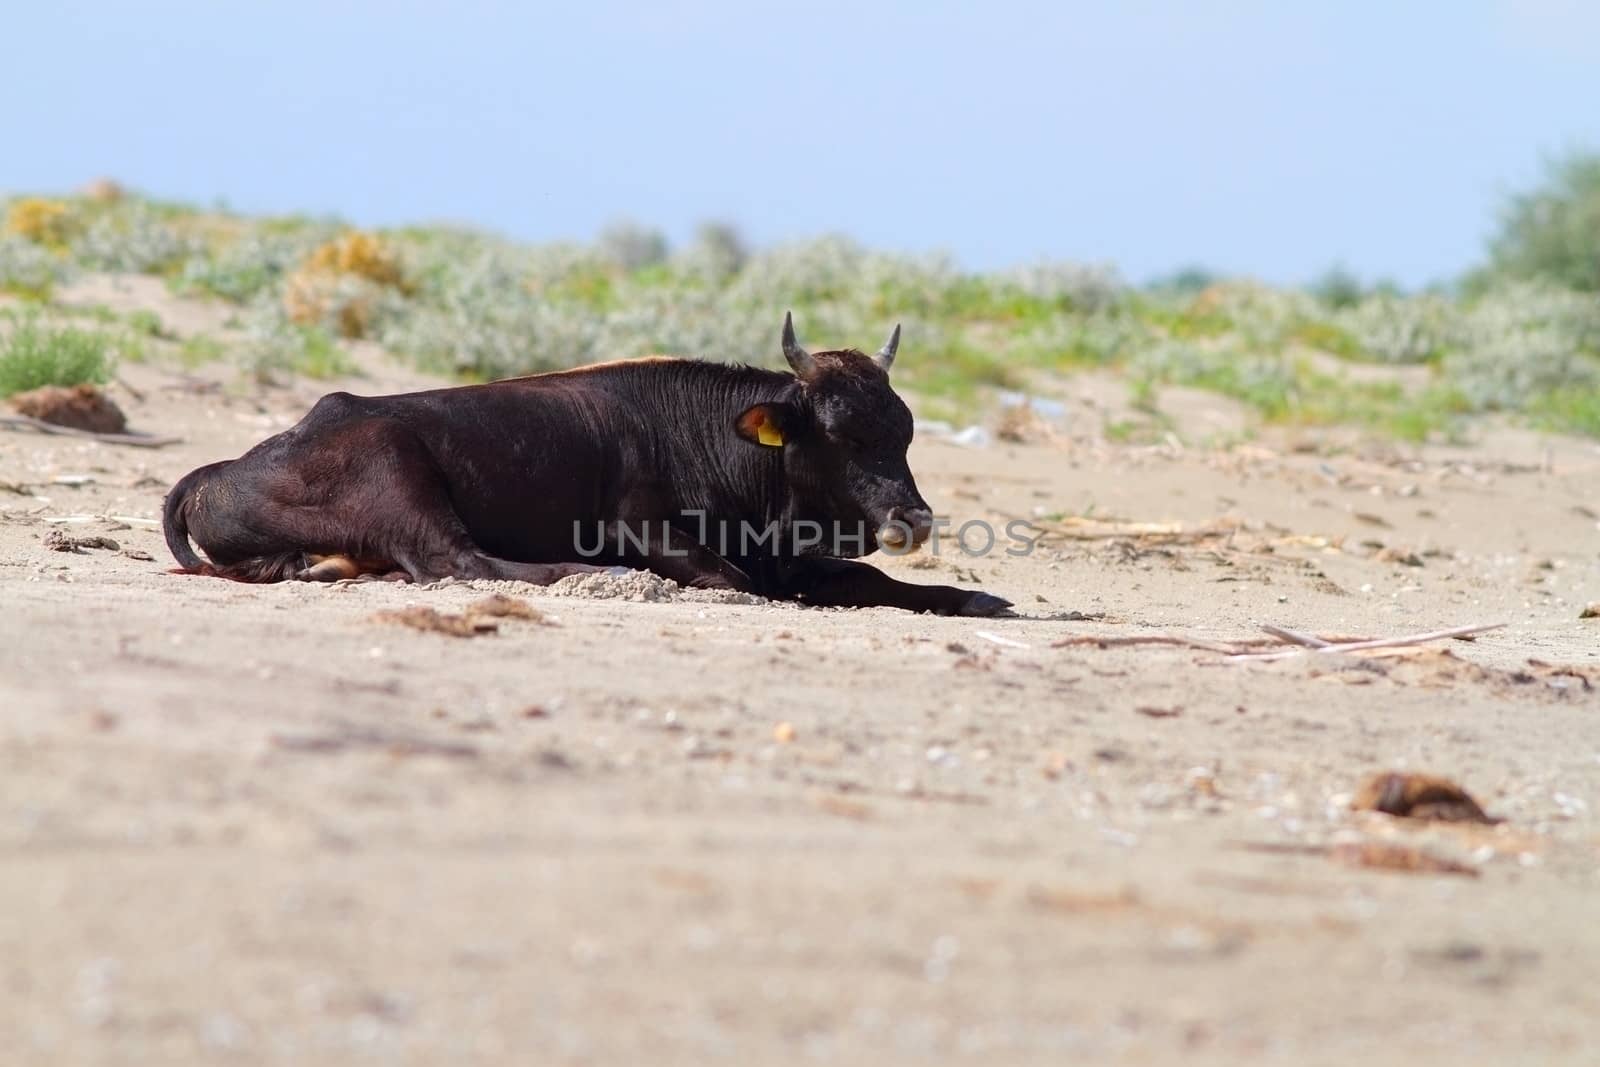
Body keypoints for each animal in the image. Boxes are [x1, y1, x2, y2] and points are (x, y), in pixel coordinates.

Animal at [162, 316, 1011, 617]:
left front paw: (972, 597)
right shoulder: (644, 528)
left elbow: (874, 579)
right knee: (456, 560)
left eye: (903, 431)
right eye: (840, 433)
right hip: (395, 468)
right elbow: (733, 579)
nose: (914, 517)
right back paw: (585, 574)